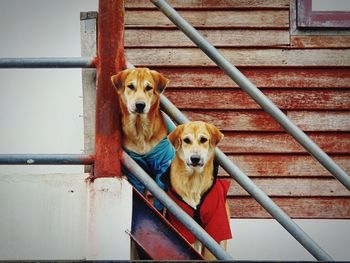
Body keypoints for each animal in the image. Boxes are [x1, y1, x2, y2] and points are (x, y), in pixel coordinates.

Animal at [110, 68, 175, 212]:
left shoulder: (162, 170)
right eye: (130, 86)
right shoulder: (135, 171)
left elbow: (161, 201)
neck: (140, 129)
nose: (140, 105)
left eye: (149, 87)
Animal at [167, 122, 232, 262]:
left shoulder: (216, 227)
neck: (194, 180)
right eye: (186, 140)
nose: (195, 158)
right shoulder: (183, 226)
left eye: (203, 139)